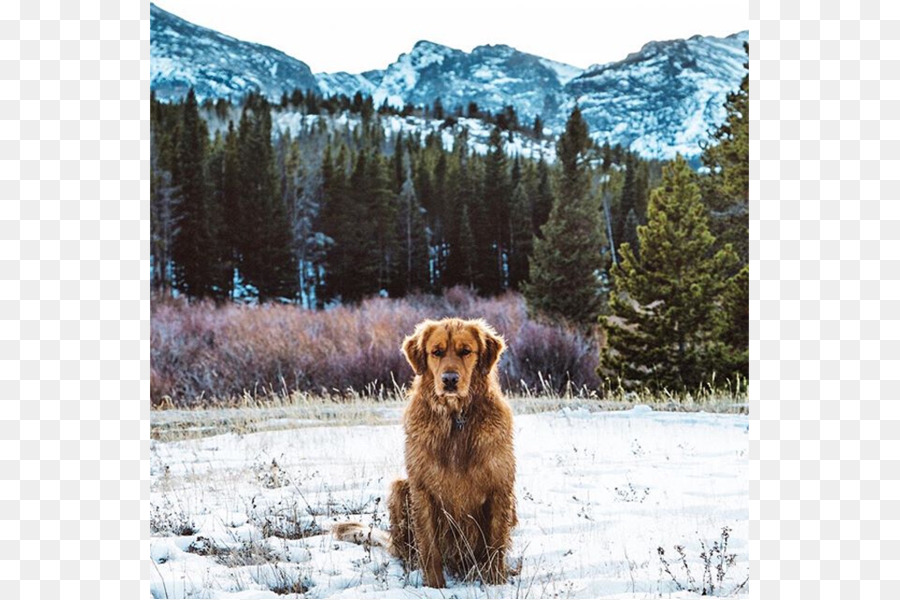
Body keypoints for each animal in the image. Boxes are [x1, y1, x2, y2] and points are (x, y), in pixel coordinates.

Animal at [332, 316, 516, 588]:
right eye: (436, 352)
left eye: (466, 351)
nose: (449, 379)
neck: (455, 418)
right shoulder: (422, 488)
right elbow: (429, 547)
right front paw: (435, 586)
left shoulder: (500, 487)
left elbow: (496, 544)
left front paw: (495, 583)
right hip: (399, 488)